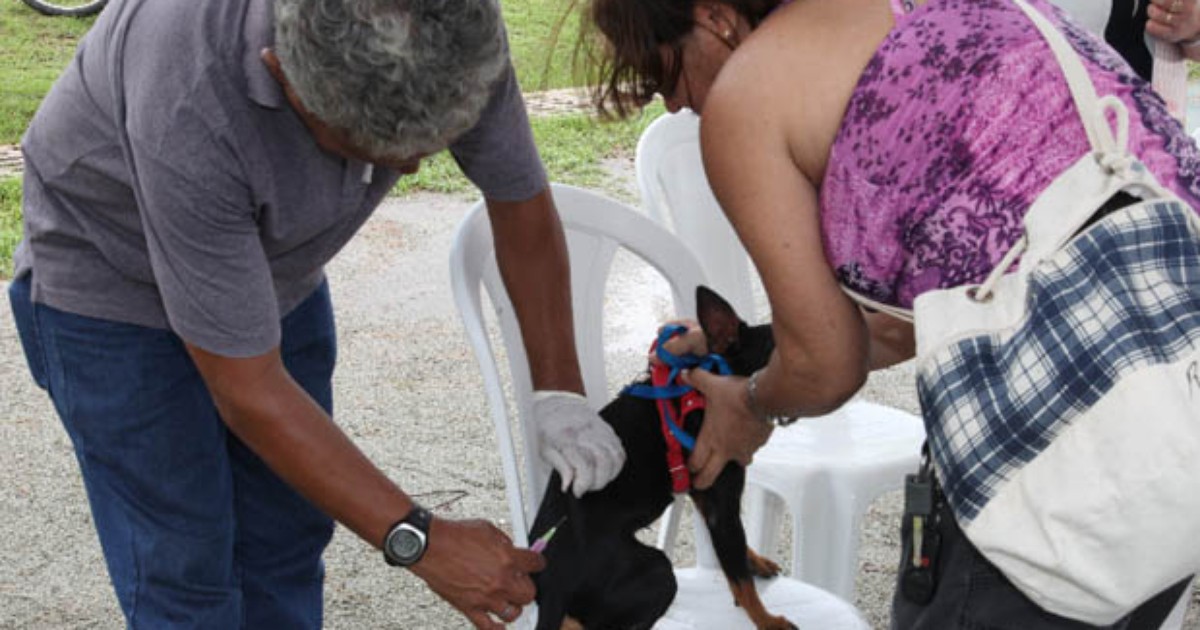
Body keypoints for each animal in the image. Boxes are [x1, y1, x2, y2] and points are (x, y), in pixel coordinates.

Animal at [528, 285, 796, 628]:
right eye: (779, 358)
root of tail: (554, 585)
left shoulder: (704, 493)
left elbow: (738, 549)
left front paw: (755, 561)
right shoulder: (720, 507)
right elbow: (740, 580)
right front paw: (767, 620)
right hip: (659, 571)